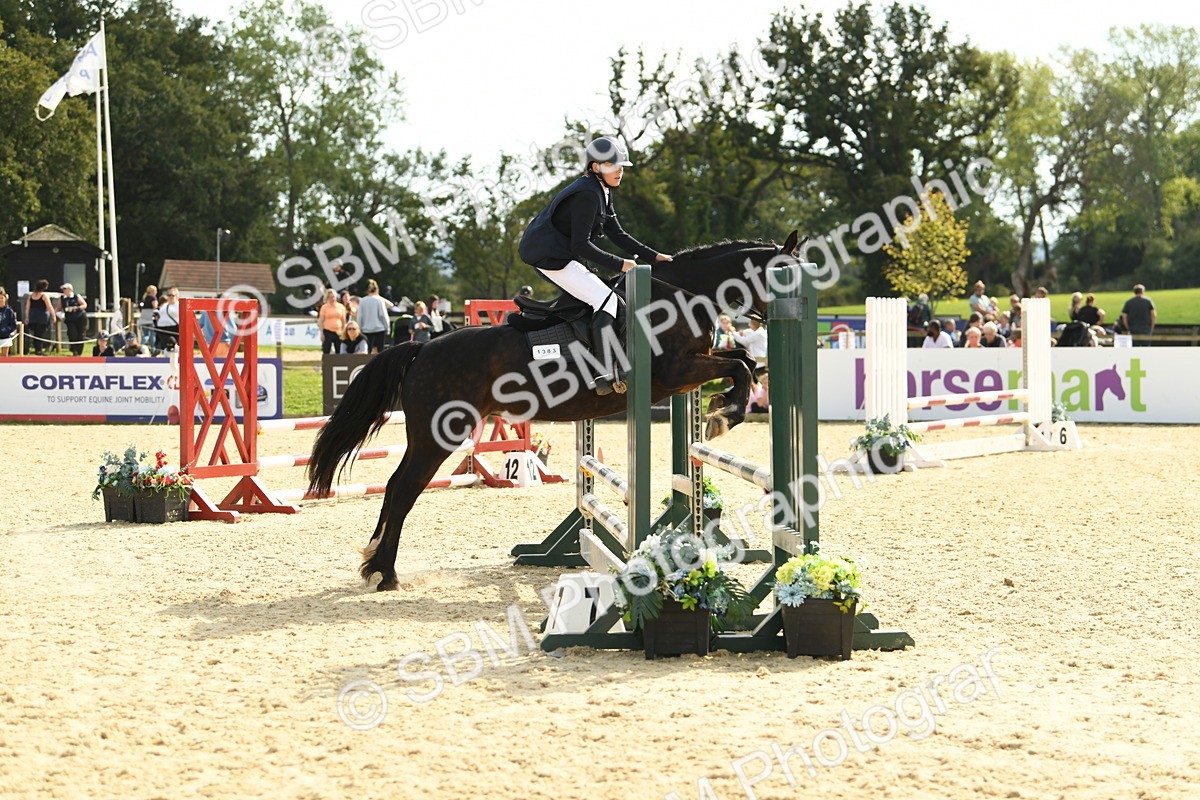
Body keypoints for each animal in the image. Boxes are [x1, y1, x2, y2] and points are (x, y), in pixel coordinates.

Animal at [307, 231, 805, 590]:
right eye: (786, 275)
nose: (793, 314)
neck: (679, 294)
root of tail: (422, 347)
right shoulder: (678, 371)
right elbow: (739, 366)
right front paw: (725, 413)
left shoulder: (690, 370)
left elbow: (743, 359)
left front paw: (721, 409)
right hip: (438, 434)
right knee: (405, 488)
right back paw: (386, 573)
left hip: (431, 435)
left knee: (395, 486)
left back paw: (375, 564)